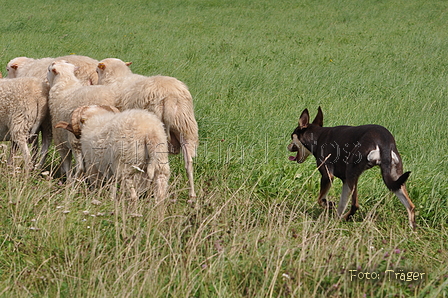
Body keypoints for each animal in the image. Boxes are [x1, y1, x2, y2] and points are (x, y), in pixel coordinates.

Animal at [97, 57, 199, 199]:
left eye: (97, 71)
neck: (118, 77)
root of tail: (170, 97)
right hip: (185, 127)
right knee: (188, 163)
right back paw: (191, 195)